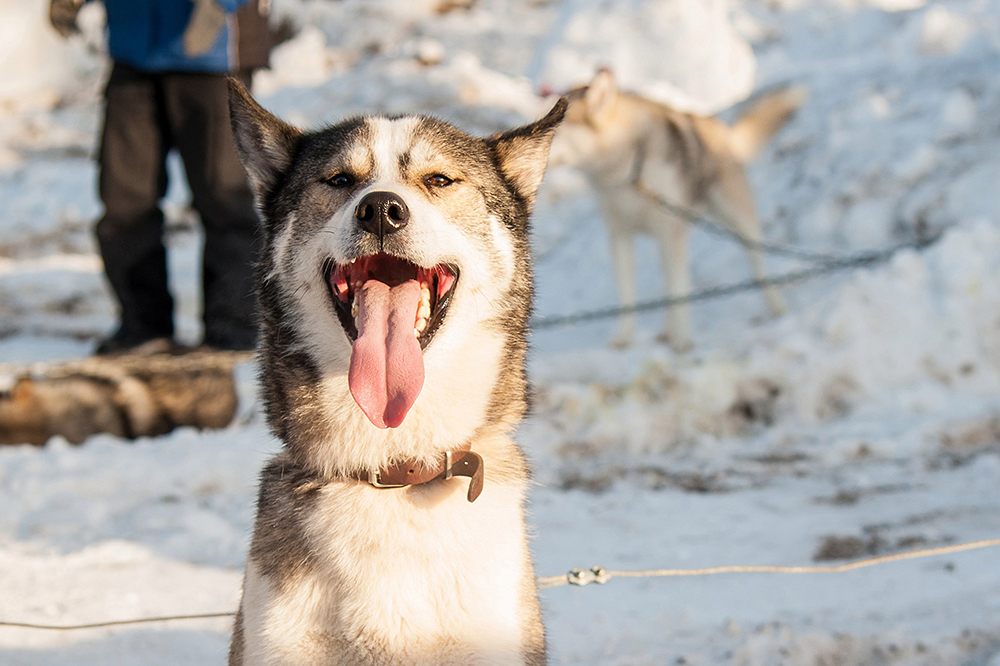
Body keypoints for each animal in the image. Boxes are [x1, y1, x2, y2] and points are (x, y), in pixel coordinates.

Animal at [548, 70, 804, 350]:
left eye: (557, 124)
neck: (630, 168)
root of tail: (720, 129)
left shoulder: (670, 234)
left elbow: (678, 289)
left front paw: (682, 342)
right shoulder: (620, 236)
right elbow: (628, 295)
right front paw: (624, 337)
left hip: (739, 223)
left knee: (757, 267)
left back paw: (776, 306)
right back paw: (666, 329)